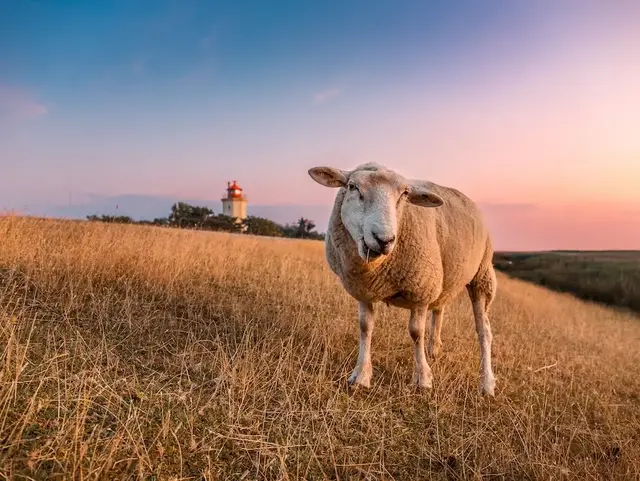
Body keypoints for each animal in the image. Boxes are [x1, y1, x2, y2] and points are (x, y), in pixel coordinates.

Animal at [308, 162, 497, 396]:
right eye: (352, 186)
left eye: (405, 194)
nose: (384, 240)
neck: (376, 269)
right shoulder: (364, 290)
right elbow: (365, 327)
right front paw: (361, 375)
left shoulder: (421, 290)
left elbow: (416, 332)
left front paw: (423, 378)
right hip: (445, 278)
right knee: (440, 309)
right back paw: (434, 349)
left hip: (482, 276)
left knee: (484, 331)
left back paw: (487, 383)